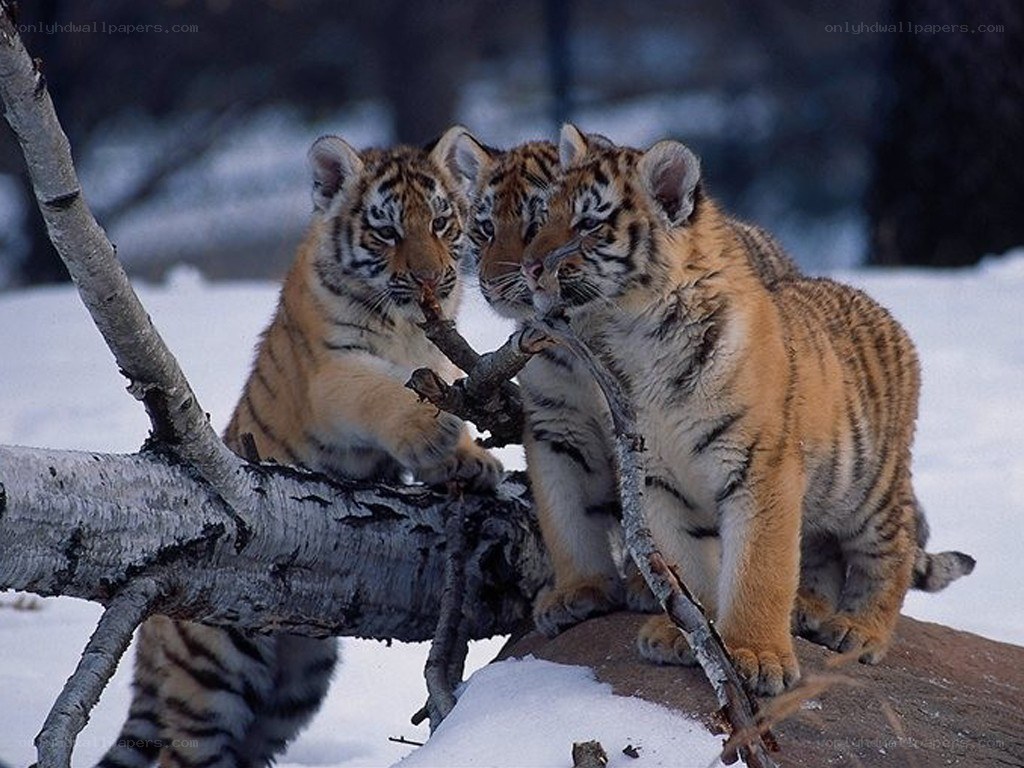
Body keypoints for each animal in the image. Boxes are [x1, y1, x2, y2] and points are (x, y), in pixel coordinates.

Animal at [97, 127, 503, 768]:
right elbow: (385, 391)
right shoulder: (332, 374)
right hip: (211, 674)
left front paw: (471, 461)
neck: (409, 328)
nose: (431, 281)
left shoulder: (438, 357)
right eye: (387, 232)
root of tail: (148, 640)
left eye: (441, 223)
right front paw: (433, 431)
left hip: (295, 685)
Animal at [516, 123, 973, 696]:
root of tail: (884, 310)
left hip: (866, 487)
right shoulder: (656, 477)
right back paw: (808, 609)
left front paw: (757, 656)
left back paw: (857, 630)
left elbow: (760, 570)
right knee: (821, 551)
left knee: (890, 551)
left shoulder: (762, 469)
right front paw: (685, 636)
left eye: (588, 224)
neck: (635, 333)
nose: (531, 268)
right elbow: (686, 566)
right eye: (544, 217)